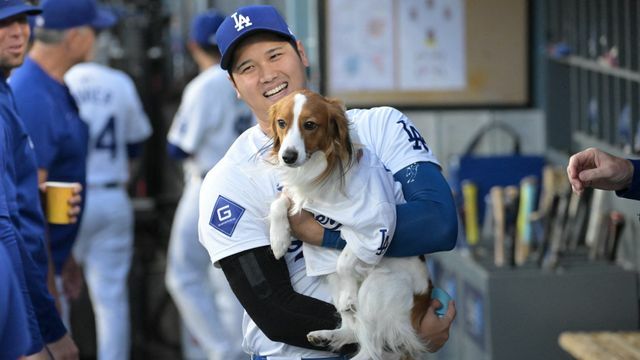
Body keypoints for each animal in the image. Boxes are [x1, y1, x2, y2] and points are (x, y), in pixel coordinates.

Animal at [268, 90, 432, 360]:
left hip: (377, 287)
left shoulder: (376, 228)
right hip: (334, 280)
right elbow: (279, 203)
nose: (288, 157)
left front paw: (348, 293)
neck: (320, 167)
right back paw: (327, 335)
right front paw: (278, 239)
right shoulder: (297, 197)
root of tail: (425, 298)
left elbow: (345, 258)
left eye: (309, 125)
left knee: (372, 347)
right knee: (353, 329)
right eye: (282, 123)